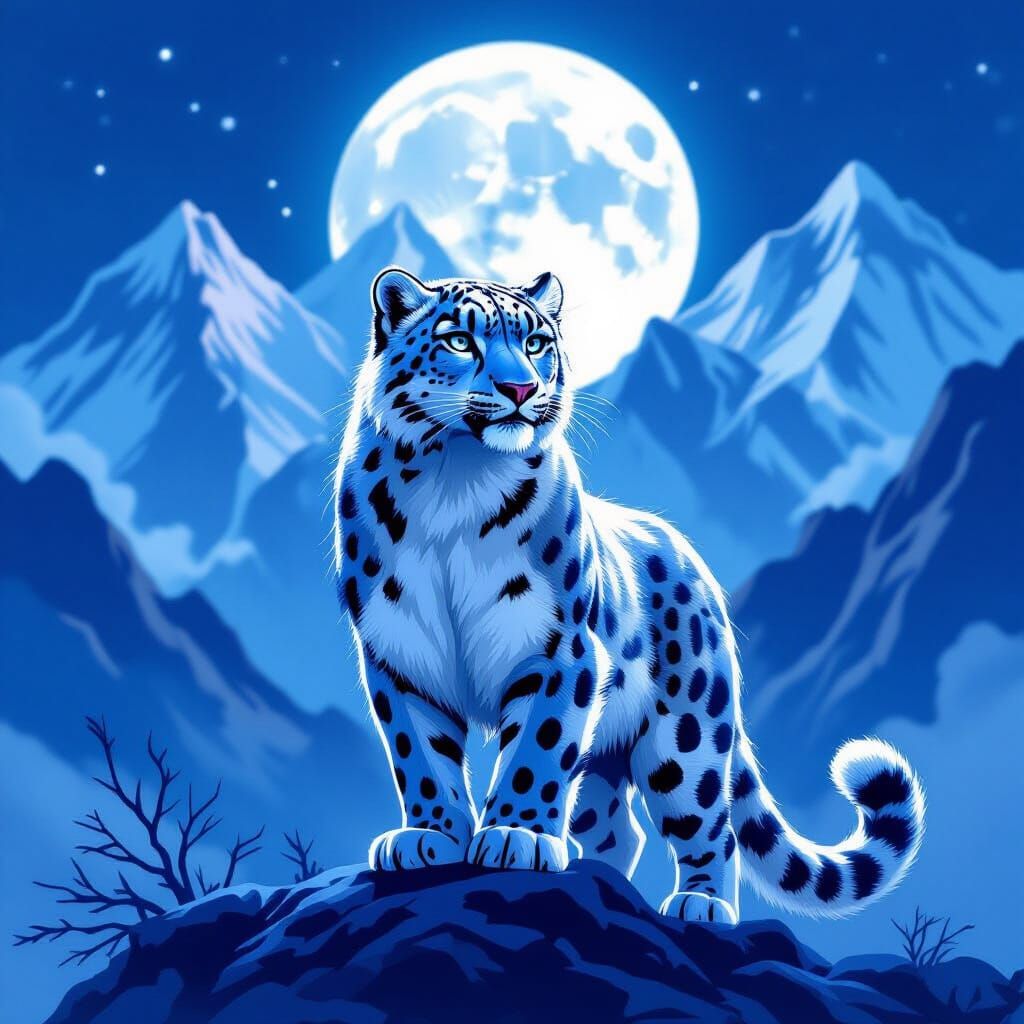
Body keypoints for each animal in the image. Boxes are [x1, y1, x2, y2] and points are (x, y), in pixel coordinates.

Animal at [333, 266, 925, 922]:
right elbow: (419, 756)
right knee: (617, 825)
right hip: (609, 751)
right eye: (460, 341)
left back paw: (699, 905)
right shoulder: (399, 655)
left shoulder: (560, 651)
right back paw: (600, 876)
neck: (453, 486)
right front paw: (431, 836)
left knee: (708, 824)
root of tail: (699, 571)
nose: (520, 387)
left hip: (686, 738)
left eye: (536, 343)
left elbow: (538, 748)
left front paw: (517, 835)